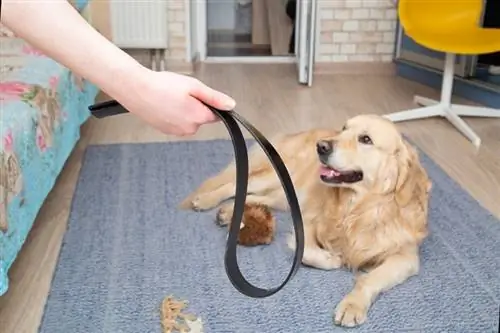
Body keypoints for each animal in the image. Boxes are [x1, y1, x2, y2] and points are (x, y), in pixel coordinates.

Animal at [182, 114, 432, 326]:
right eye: (344, 128)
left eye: (366, 139)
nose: (321, 146)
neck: (358, 210)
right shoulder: (307, 223)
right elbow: (310, 252)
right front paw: (332, 258)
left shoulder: (406, 257)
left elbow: (369, 279)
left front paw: (352, 305)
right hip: (279, 176)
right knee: (235, 185)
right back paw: (206, 200)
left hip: (285, 195)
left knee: (258, 197)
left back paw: (227, 213)